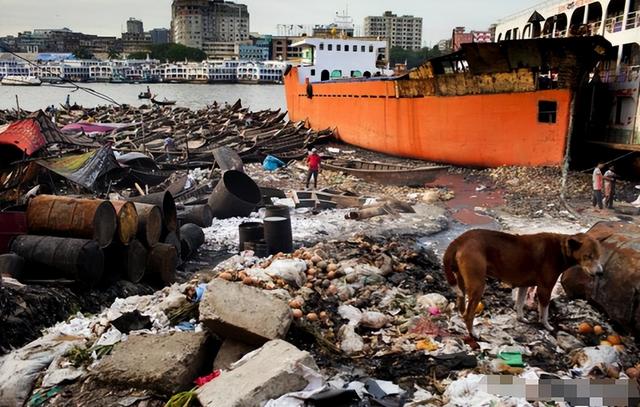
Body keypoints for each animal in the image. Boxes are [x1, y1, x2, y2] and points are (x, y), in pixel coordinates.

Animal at [442, 231, 604, 340]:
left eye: (598, 256)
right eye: (587, 256)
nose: (600, 273)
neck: (561, 249)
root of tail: (461, 239)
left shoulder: (524, 285)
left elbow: (520, 304)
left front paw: (521, 318)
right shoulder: (545, 288)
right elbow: (544, 312)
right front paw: (547, 326)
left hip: (462, 282)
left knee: (461, 305)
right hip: (478, 285)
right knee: (469, 314)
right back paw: (473, 334)